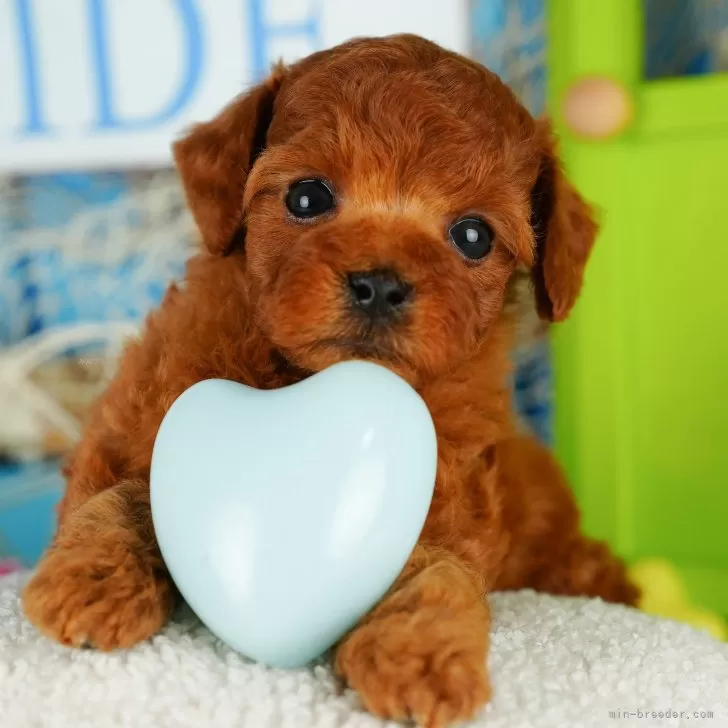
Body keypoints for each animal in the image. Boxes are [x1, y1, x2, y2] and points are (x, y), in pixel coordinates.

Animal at [24, 35, 636, 728]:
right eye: (307, 198)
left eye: (474, 236)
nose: (381, 284)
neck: (303, 377)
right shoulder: (146, 424)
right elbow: (122, 500)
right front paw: (91, 580)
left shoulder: (438, 506)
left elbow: (439, 575)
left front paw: (424, 658)